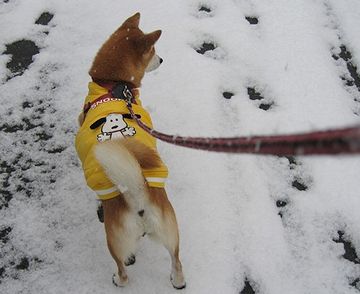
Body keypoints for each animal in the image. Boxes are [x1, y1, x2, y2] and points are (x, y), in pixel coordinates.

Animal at [73, 12, 186, 288]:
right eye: (153, 51)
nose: (162, 59)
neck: (113, 84)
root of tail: (137, 193)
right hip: (171, 230)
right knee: (176, 260)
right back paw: (177, 281)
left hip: (114, 241)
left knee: (123, 268)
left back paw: (118, 278)